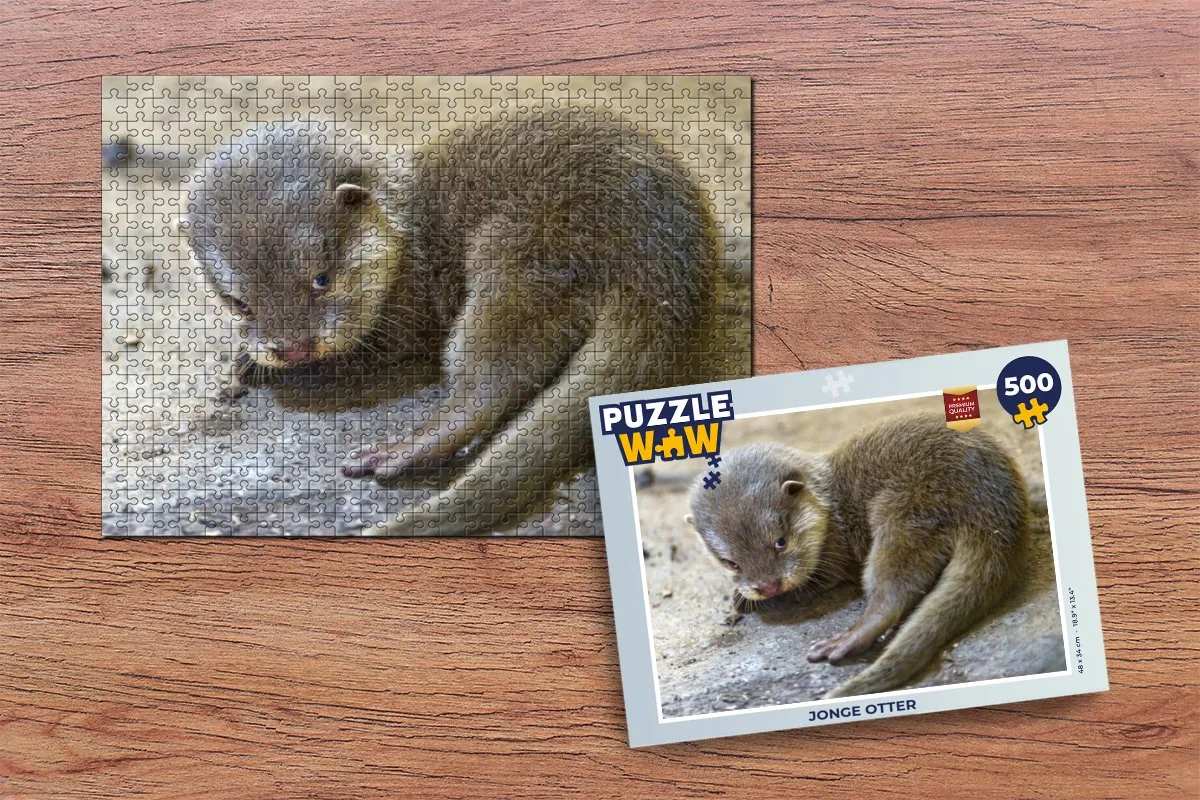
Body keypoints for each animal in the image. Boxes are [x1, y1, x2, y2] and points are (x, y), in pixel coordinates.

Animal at [182, 113, 742, 534]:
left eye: (321, 279)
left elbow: (363, 352)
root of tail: (666, 272)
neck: (408, 235)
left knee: (490, 380)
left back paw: (404, 450)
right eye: (238, 302)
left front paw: (254, 368)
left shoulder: (408, 310)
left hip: (519, 250)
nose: (291, 346)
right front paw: (247, 358)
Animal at [687, 413, 1029, 698]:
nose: (768, 586)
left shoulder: (833, 554)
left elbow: (810, 585)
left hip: (908, 509)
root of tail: (994, 507)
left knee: (894, 590)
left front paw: (745, 602)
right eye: (730, 562)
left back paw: (847, 640)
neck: (830, 506)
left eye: (780, 542)